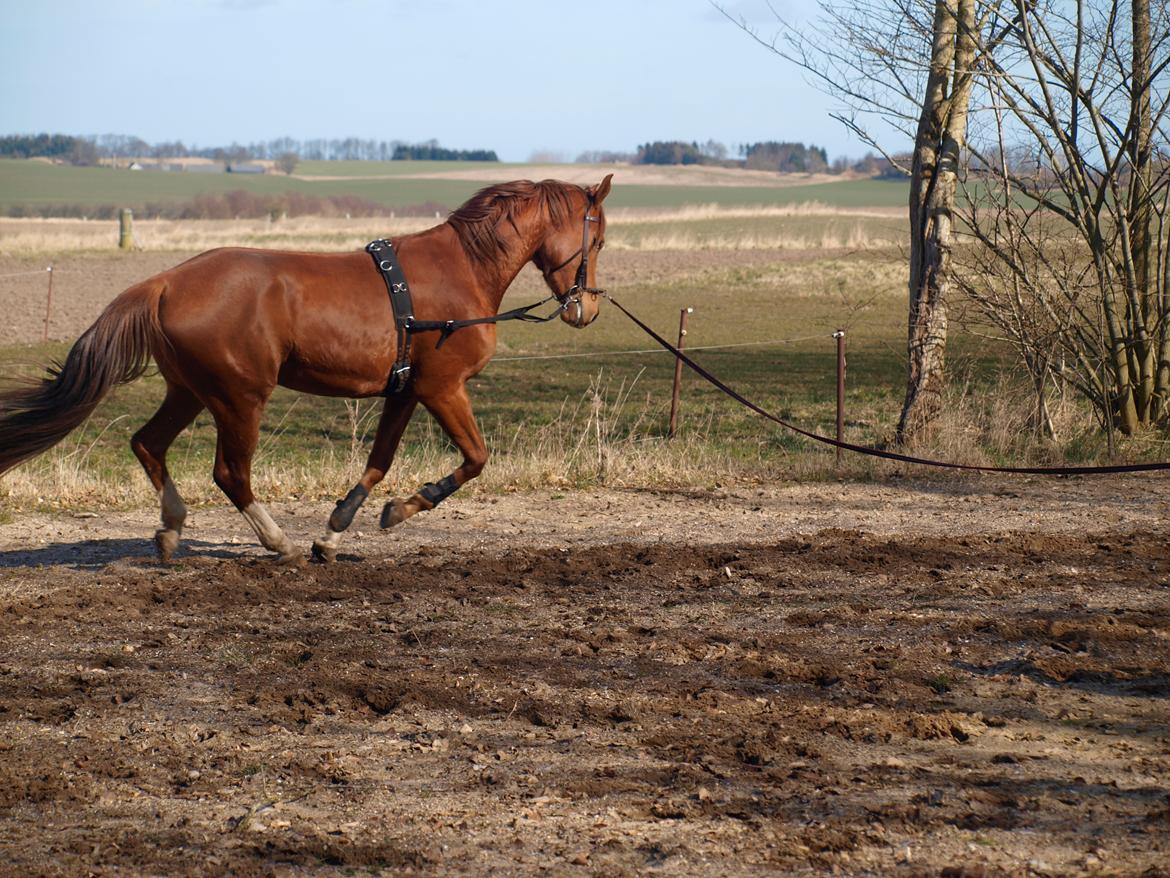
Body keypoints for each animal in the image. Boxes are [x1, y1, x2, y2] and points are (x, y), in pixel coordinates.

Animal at [0, 175, 613, 566]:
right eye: (600, 238)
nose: (586, 309)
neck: (463, 270)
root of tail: (165, 282)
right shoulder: (442, 388)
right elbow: (476, 458)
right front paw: (401, 510)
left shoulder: (405, 390)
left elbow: (377, 463)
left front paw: (336, 534)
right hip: (240, 398)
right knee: (230, 474)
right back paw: (279, 544)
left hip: (189, 392)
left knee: (148, 444)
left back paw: (172, 530)